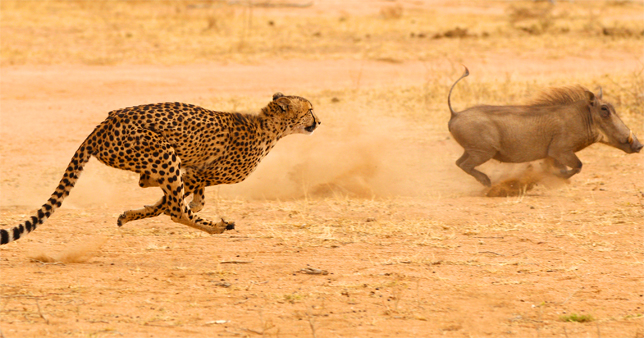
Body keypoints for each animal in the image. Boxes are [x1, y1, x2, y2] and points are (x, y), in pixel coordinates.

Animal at [0, 93, 320, 246]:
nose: (319, 121)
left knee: (154, 187)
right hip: (163, 151)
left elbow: (181, 196)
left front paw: (131, 213)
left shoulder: (193, 171)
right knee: (177, 211)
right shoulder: (197, 173)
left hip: (158, 157)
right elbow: (172, 202)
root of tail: (103, 125)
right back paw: (217, 227)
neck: (269, 129)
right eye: (309, 110)